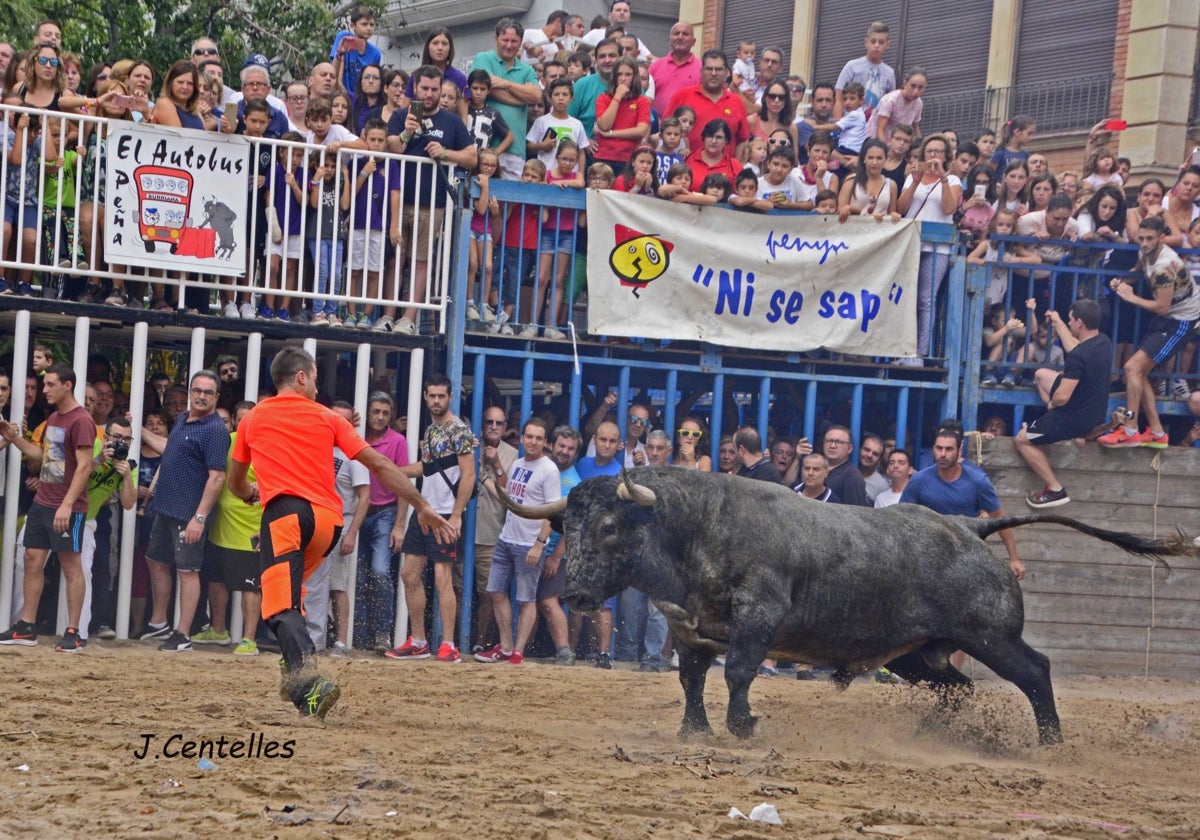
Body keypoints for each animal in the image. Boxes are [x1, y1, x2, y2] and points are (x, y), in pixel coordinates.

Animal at [492, 465, 1185, 748]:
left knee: (1036, 672)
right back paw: (941, 734)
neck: (698, 528)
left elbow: (739, 673)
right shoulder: (694, 631)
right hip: (917, 656)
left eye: (610, 527)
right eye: (565, 529)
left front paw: (742, 725)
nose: (576, 594)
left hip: (992, 637)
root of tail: (972, 528)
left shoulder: (758, 622)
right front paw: (696, 730)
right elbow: (692, 679)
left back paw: (1051, 742)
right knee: (956, 688)